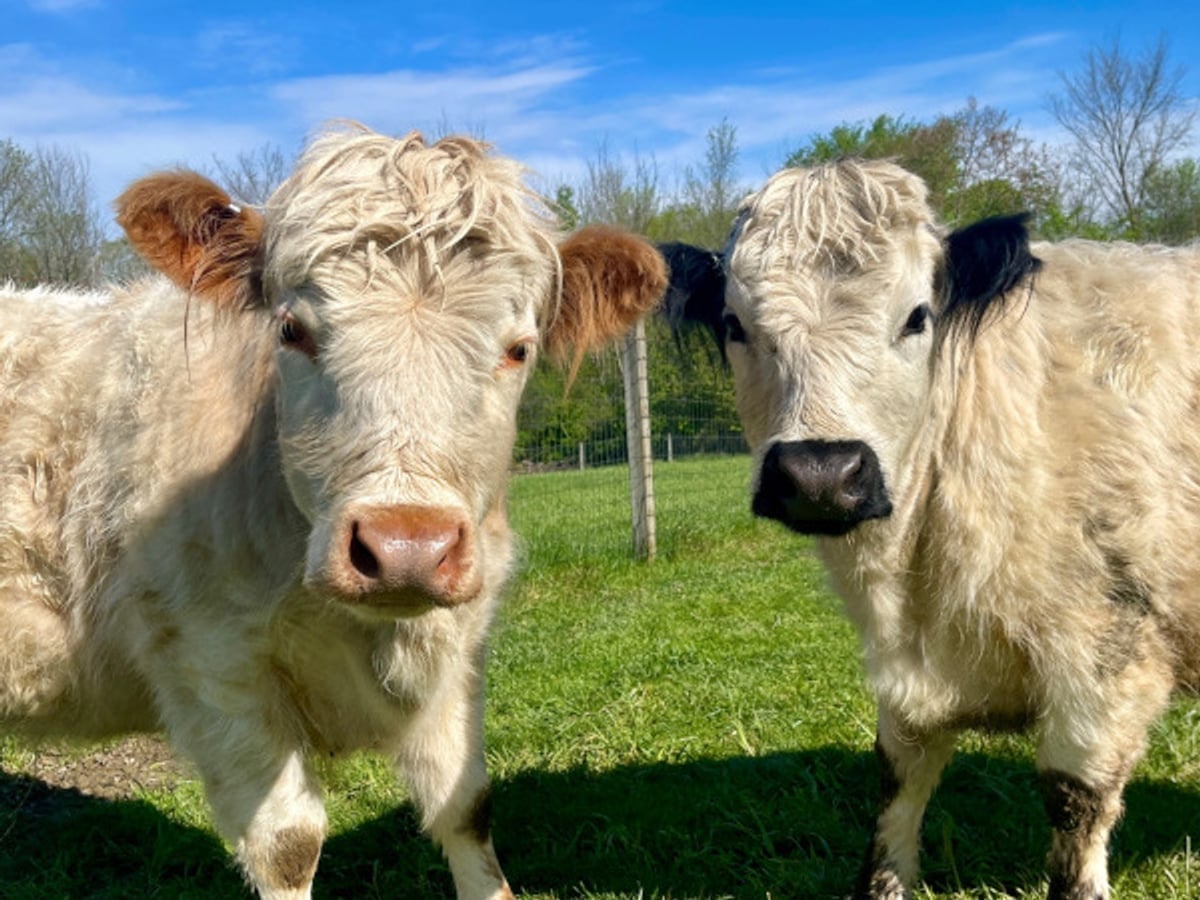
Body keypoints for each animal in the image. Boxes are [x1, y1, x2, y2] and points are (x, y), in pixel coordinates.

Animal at [0, 125, 667, 900]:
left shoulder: (461, 648)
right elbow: (288, 845)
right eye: (292, 330)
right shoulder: (208, 659)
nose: (407, 548)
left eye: (519, 348)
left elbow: (466, 806)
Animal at [660, 158, 1200, 899]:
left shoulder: (1110, 655)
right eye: (735, 323)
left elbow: (1075, 804)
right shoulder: (907, 684)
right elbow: (896, 783)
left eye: (918, 317)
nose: (820, 472)